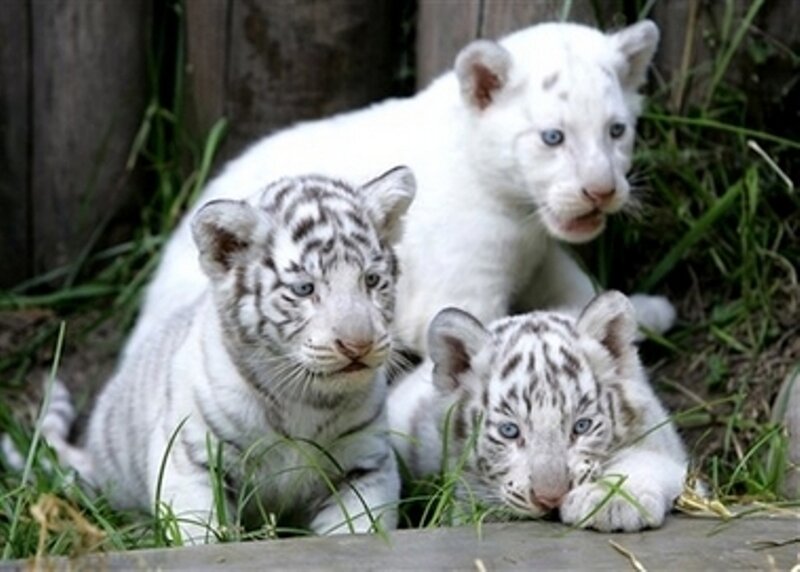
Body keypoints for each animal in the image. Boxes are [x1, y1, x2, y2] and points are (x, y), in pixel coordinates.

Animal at [19, 167, 416, 543]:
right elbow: (200, 532)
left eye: (371, 280)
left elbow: (358, 528)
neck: (303, 398)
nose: (358, 345)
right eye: (305, 289)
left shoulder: (363, 466)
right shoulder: (192, 457)